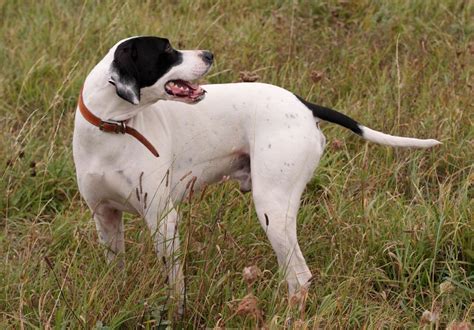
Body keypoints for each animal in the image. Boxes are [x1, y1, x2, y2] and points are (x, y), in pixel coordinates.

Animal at [72, 36, 438, 310]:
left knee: (299, 277)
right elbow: (116, 270)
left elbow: (175, 284)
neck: (112, 129)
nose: (208, 54)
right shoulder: (105, 217)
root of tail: (303, 104)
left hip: (272, 208)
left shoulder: (163, 219)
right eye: (166, 52)